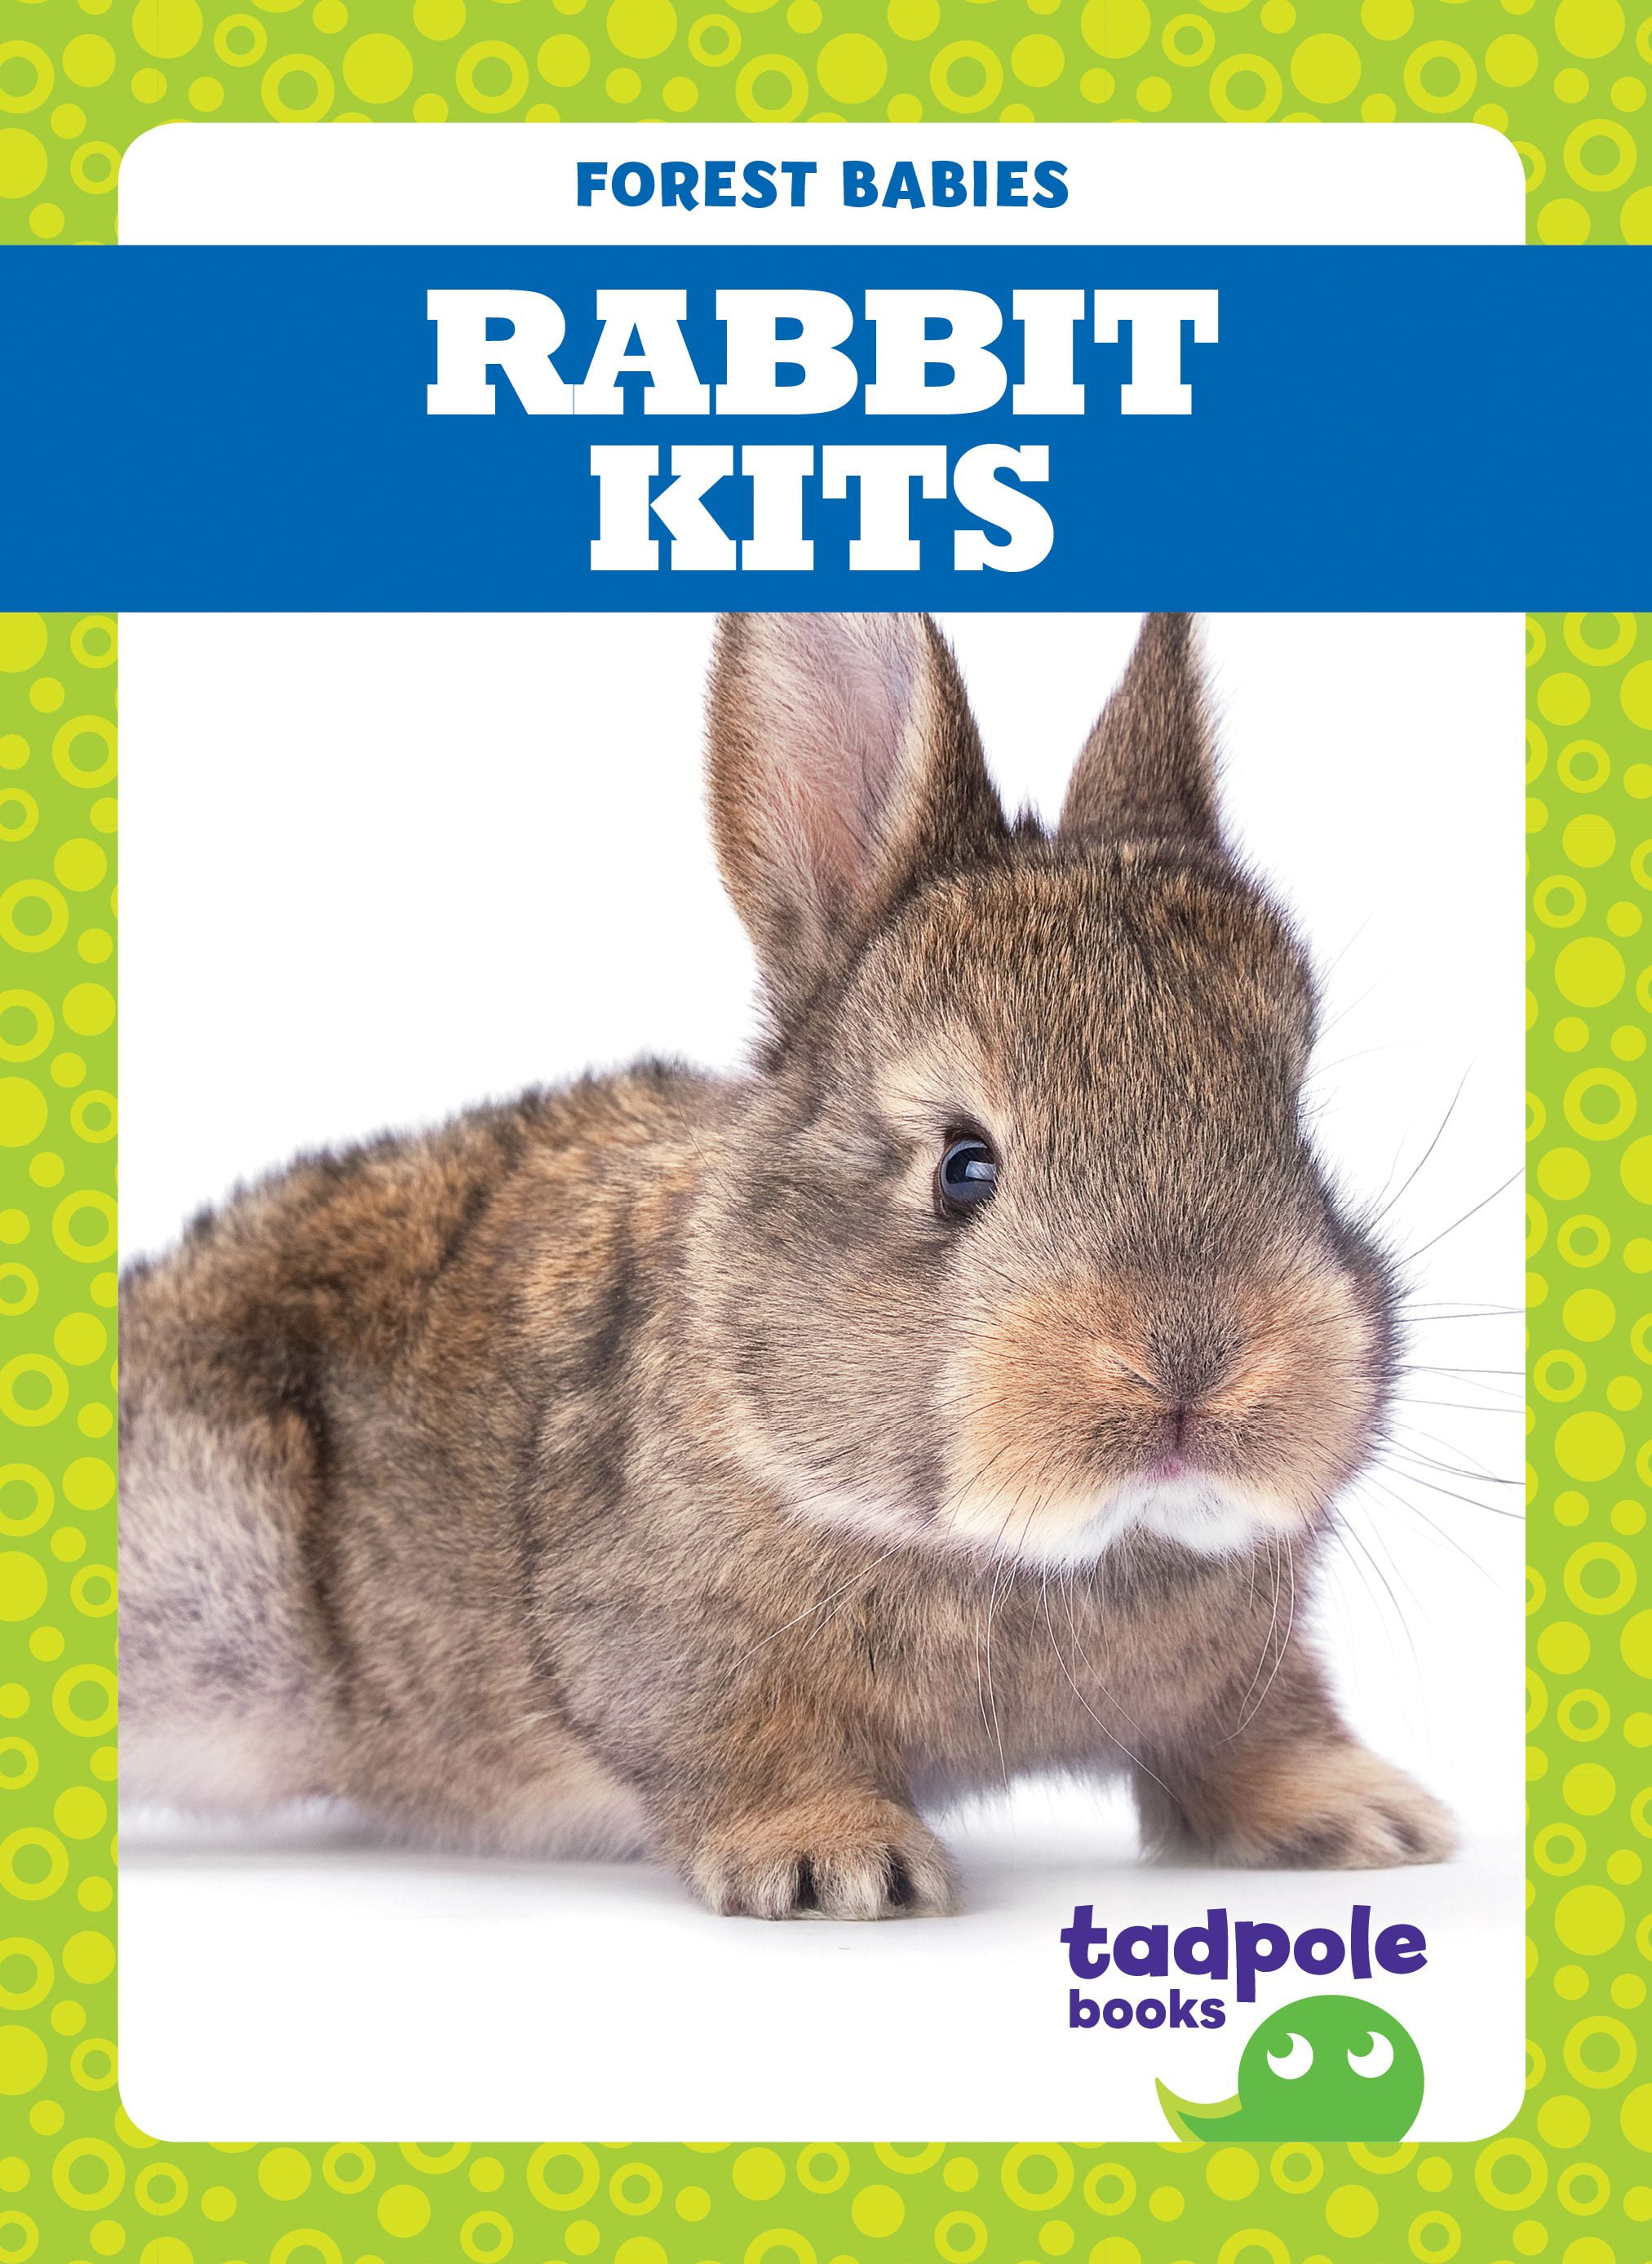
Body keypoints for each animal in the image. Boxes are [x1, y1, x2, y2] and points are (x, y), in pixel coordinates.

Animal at [119, 612, 1455, 1919]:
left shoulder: (1244, 1667)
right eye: (963, 1166)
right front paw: (839, 1863)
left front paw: (1368, 1817)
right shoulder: (684, 1654)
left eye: (1290, 1128)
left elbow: (1257, 1726)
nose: (1195, 1364)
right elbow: (753, 1747)